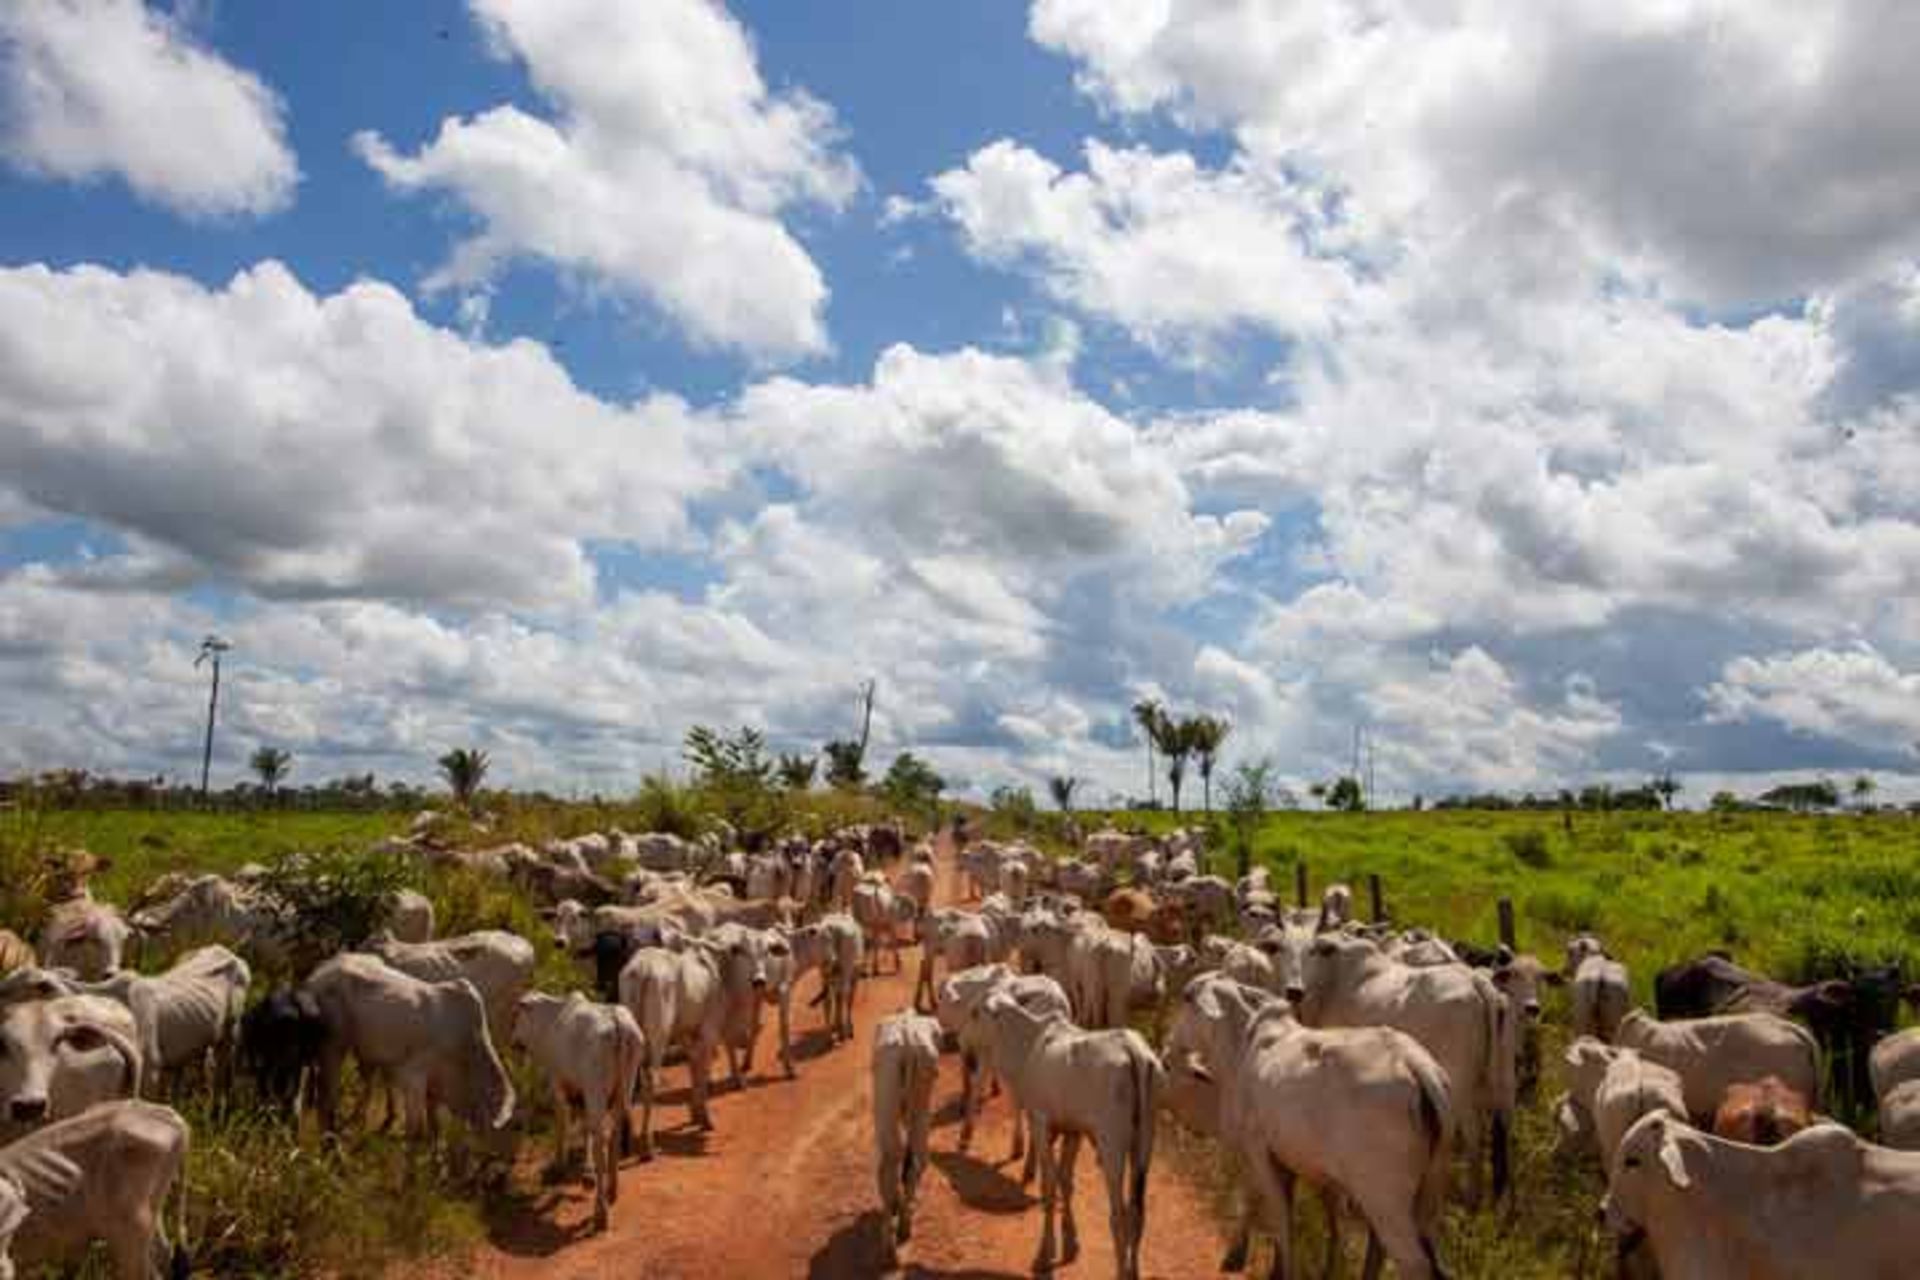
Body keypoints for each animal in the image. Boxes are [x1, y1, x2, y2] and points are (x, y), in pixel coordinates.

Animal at [510, 990, 645, 1228]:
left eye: (517, 1016)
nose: (513, 1042)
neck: (552, 1018)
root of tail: (617, 1023)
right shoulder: (581, 1094)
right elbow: (585, 1128)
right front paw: (586, 1173)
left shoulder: (558, 1084)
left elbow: (562, 1123)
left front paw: (559, 1166)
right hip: (624, 1089)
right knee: (614, 1136)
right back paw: (612, 1190)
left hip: (596, 1092)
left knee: (602, 1142)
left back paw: (600, 1213)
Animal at [867, 1013, 940, 1266]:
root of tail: (908, 1039)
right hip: (919, 1102)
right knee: (914, 1156)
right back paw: (904, 1226)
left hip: (888, 1105)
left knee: (891, 1163)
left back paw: (890, 1241)